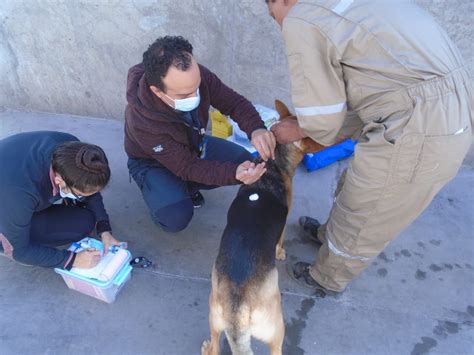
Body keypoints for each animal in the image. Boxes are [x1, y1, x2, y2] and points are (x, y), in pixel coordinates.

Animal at [200, 101, 326, 355]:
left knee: (216, 346)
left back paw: (207, 347)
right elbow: (280, 240)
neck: (272, 164)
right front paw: (280, 252)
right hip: (275, 328)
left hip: (214, 316)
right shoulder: (283, 223)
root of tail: (238, 307)